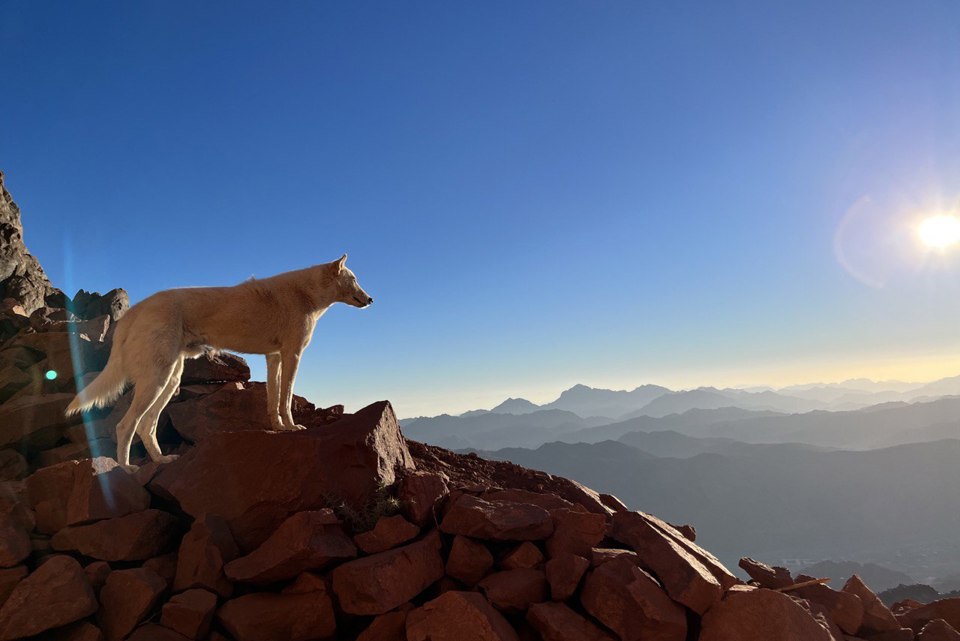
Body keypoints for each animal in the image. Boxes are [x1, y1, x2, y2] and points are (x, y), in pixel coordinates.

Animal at [65, 252, 374, 468]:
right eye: (354, 278)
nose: (371, 299)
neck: (306, 294)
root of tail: (135, 311)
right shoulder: (292, 355)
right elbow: (285, 399)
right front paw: (291, 426)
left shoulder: (273, 358)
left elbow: (274, 399)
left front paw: (277, 428)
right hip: (157, 380)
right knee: (126, 425)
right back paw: (127, 469)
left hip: (170, 379)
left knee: (146, 426)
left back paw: (162, 461)